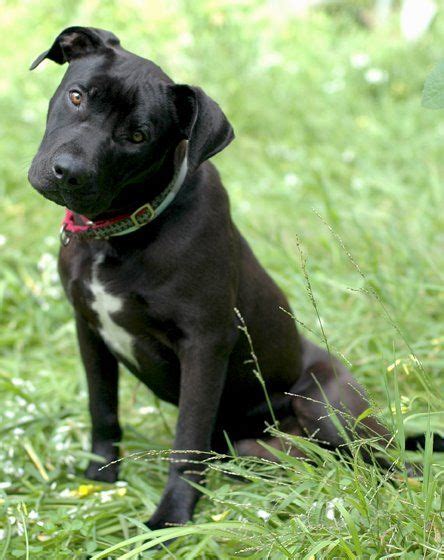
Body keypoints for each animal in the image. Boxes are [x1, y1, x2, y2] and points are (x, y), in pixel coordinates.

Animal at [28, 28, 412, 532]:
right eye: (76, 96)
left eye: (138, 136)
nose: (68, 173)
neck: (120, 233)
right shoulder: (88, 329)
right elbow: (103, 410)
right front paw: (99, 481)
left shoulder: (205, 344)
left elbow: (187, 440)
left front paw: (169, 521)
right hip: (261, 450)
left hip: (328, 408)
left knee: (394, 464)